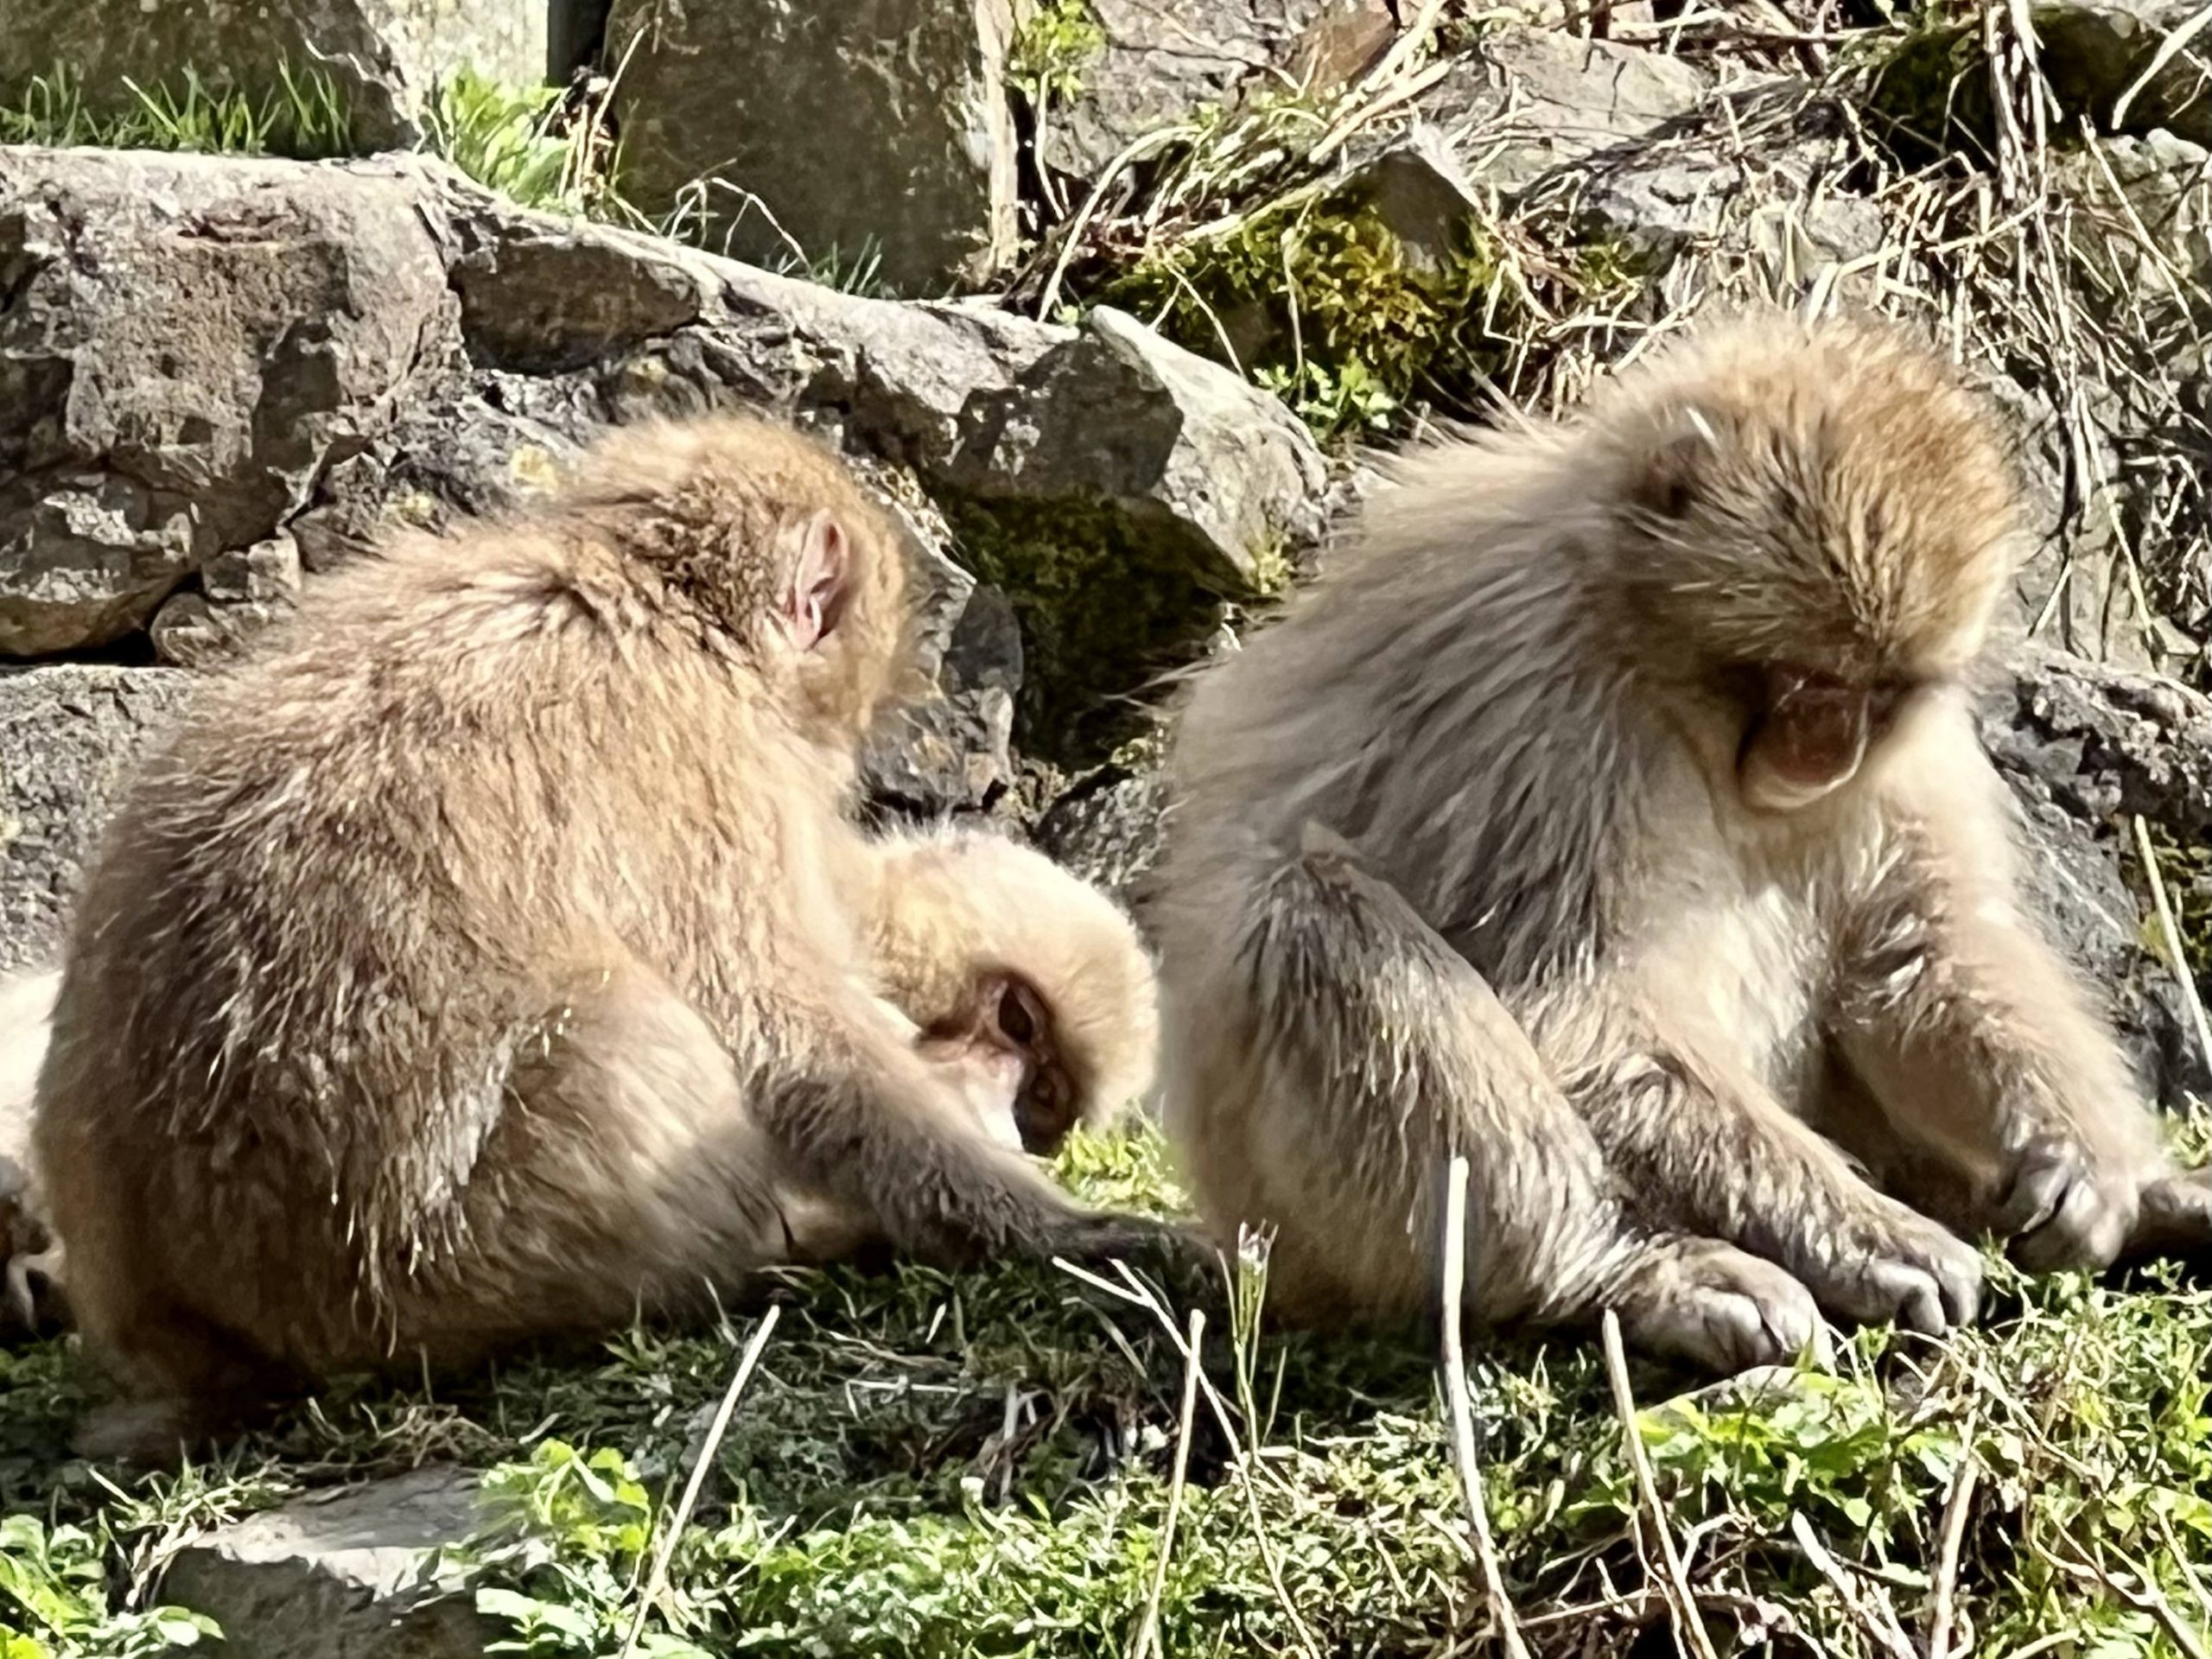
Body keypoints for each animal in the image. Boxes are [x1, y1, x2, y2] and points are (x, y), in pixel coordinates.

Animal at [31, 411, 1191, 1459]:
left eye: (1042, 1098)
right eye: (1019, 1029)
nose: (1006, 1105)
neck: (651, 602)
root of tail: (208, 1328)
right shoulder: (714, 773)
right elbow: (793, 1040)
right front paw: (1057, 1227)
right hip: (454, 1263)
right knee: (625, 1029)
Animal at [1149, 309, 2212, 1375]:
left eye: (1875, 692)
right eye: (1799, 678)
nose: (1825, 752)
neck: (1646, 648)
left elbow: (1918, 945)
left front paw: (2092, 1164)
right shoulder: (1539, 692)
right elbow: (1579, 1000)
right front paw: (1866, 1235)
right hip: (1296, 1237)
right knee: (1306, 911)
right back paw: (1624, 1270)